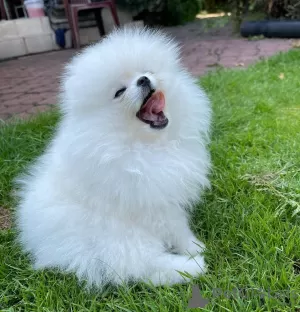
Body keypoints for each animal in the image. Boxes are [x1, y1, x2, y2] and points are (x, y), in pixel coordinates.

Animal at [16, 26, 212, 288]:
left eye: (147, 71)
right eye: (119, 92)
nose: (143, 80)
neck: (143, 144)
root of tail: (47, 245)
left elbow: (179, 225)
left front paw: (194, 245)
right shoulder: (151, 202)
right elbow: (176, 228)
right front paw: (194, 248)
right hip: (116, 237)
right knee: (142, 267)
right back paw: (192, 267)